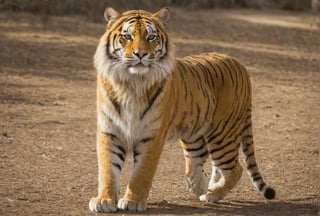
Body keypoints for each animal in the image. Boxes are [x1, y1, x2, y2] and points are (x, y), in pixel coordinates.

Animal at [89, 6, 276, 213]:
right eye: (127, 36)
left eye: (151, 37)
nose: (141, 54)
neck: (131, 83)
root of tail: (239, 63)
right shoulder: (109, 130)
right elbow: (107, 169)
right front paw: (104, 200)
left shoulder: (152, 135)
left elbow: (141, 173)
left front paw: (132, 202)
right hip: (195, 135)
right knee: (201, 162)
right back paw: (202, 186)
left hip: (222, 133)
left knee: (235, 168)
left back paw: (212, 193)